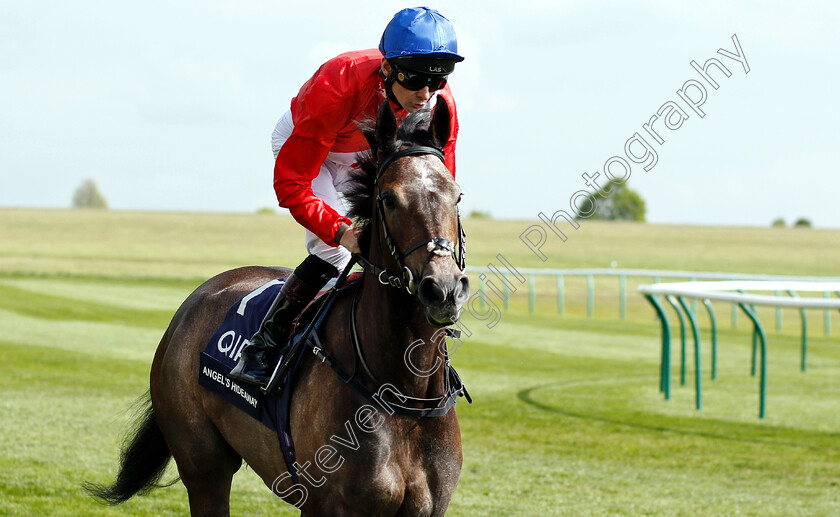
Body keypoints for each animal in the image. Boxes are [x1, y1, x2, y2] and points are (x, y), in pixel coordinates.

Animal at [85, 98, 472, 516]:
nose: (443, 289)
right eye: (389, 198)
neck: (404, 392)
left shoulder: (428, 508)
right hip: (203, 465)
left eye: (457, 196)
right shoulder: (323, 505)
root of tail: (195, 300)